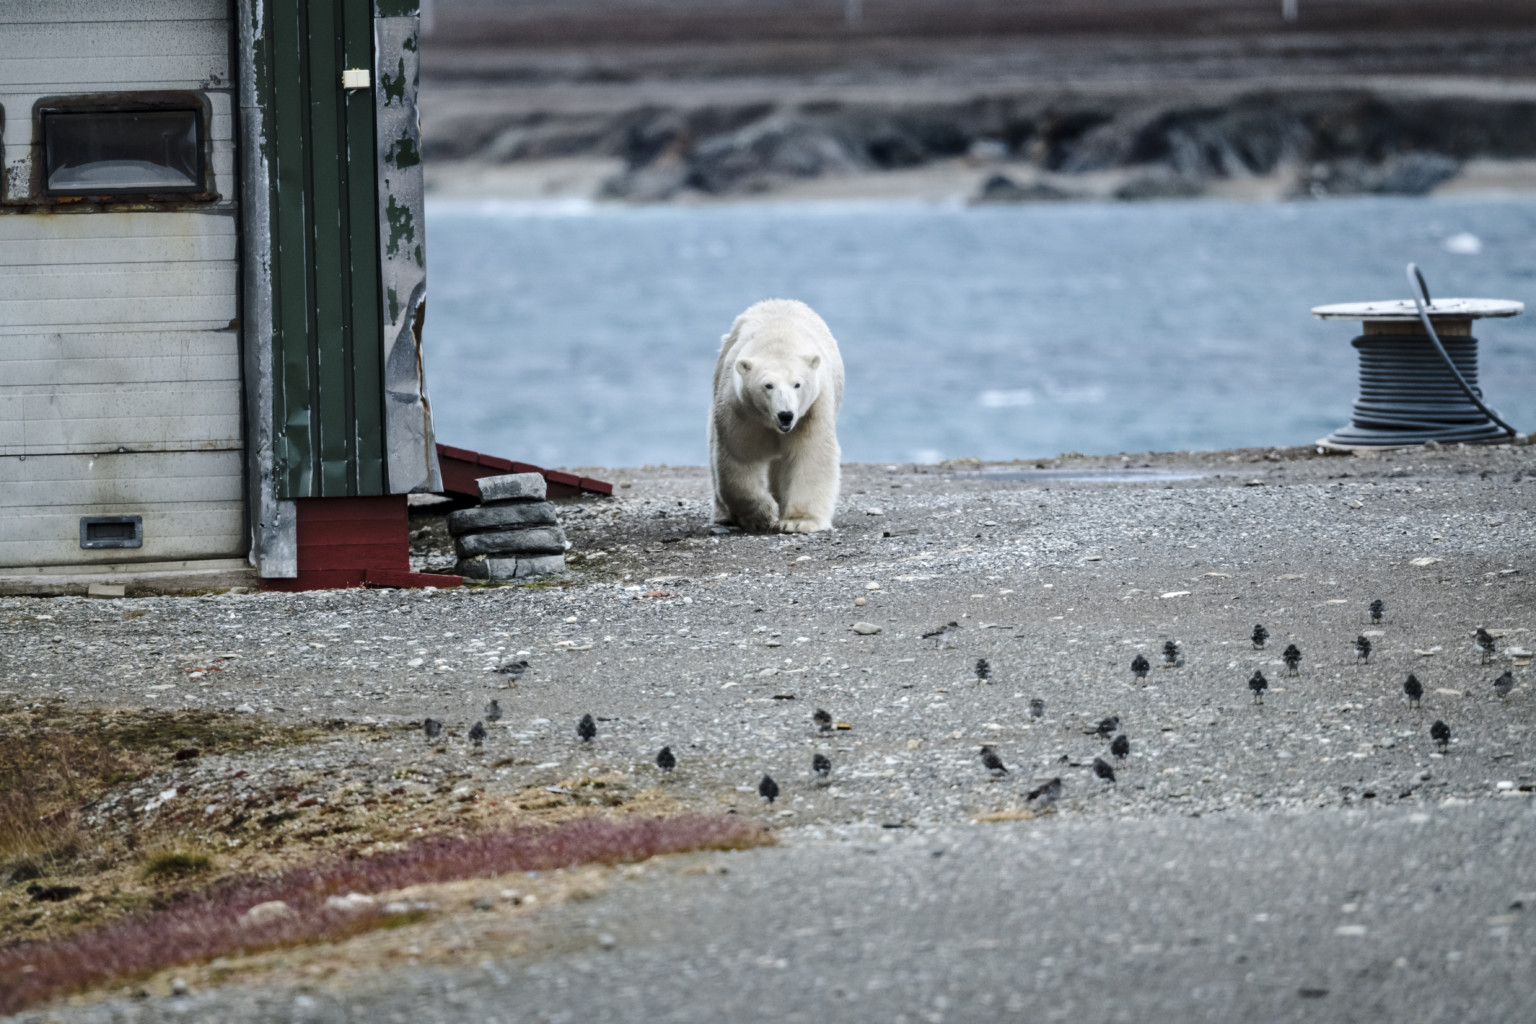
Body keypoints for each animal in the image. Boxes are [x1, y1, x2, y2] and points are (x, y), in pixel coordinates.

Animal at [709, 297, 847, 534]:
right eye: (768, 385)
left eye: (797, 384)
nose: (786, 415)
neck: (779, 340)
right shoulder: (741, 411)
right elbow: (740, 456)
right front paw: (762, 515)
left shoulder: (812, 410)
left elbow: (811, 454)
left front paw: (798, 521)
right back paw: (724, 515)